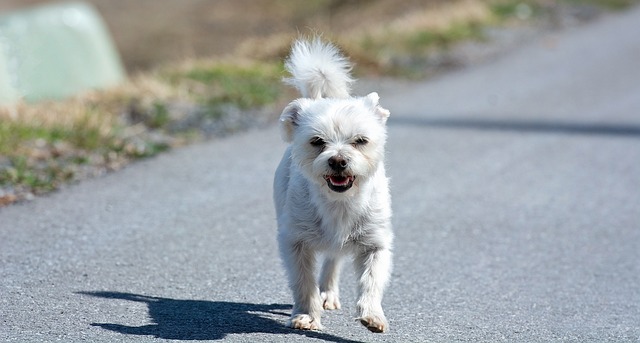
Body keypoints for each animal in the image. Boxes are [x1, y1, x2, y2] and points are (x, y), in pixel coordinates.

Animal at [272, 37, 392, 334]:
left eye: (360, 140)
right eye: (317, 141)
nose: (338, 160)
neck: (339, 204)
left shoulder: (376, 243)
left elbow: (372, 280)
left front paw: (372, 315)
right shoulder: (295, 242)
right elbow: (303, 282)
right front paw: (306, 315)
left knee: (333, 259)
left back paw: (328, 292)